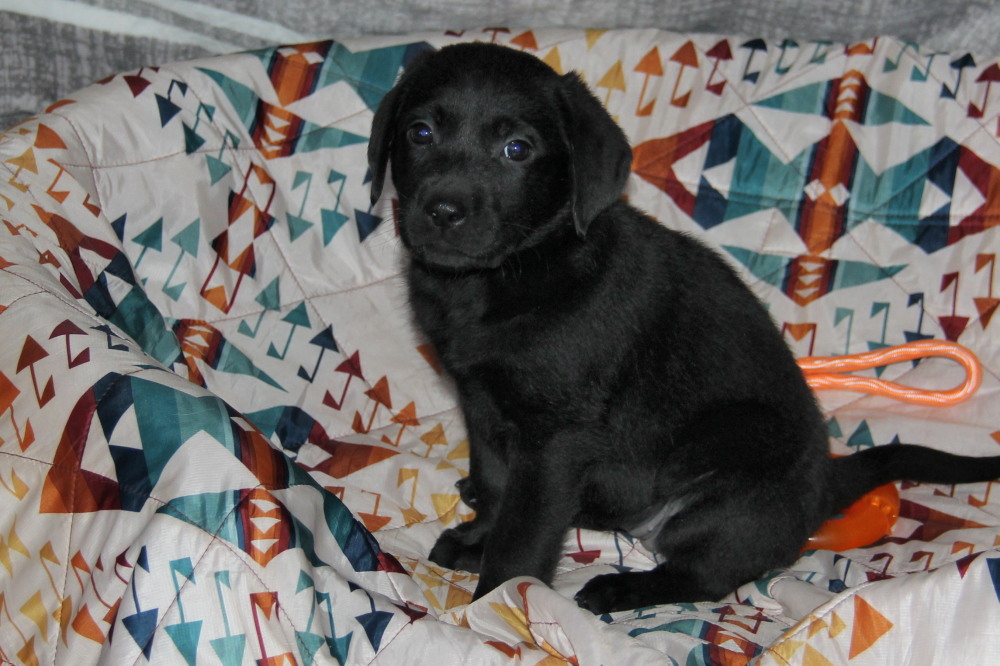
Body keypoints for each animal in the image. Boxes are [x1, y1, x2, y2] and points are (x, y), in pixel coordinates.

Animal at [370, 42, 1000, 612]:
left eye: (517, 149)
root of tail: (824, 486)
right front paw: (478, 541)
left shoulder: (553, 437)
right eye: (420, 133)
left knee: (705, 575)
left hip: (732, 487)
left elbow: (524, 529)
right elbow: (498, 487)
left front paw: (499, 605)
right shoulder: (482, 403)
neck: (502, 279)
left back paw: (619, 588)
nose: (443, 211)